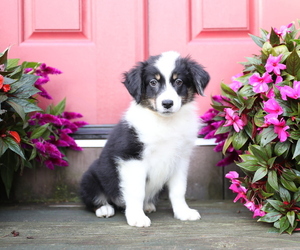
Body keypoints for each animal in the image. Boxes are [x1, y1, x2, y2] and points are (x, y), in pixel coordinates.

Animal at [80, 50, 211, 227]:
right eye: (153, 82)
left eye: (179, 81)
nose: (167, 103)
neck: (165, 122)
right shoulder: (132, 158)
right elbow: (136, 191)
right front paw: (137, 217)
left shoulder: (181, 159)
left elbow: (178, 190)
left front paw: (183, 212)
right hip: (90, 177)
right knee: (92, 197)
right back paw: (104, 208)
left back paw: (147, 205)